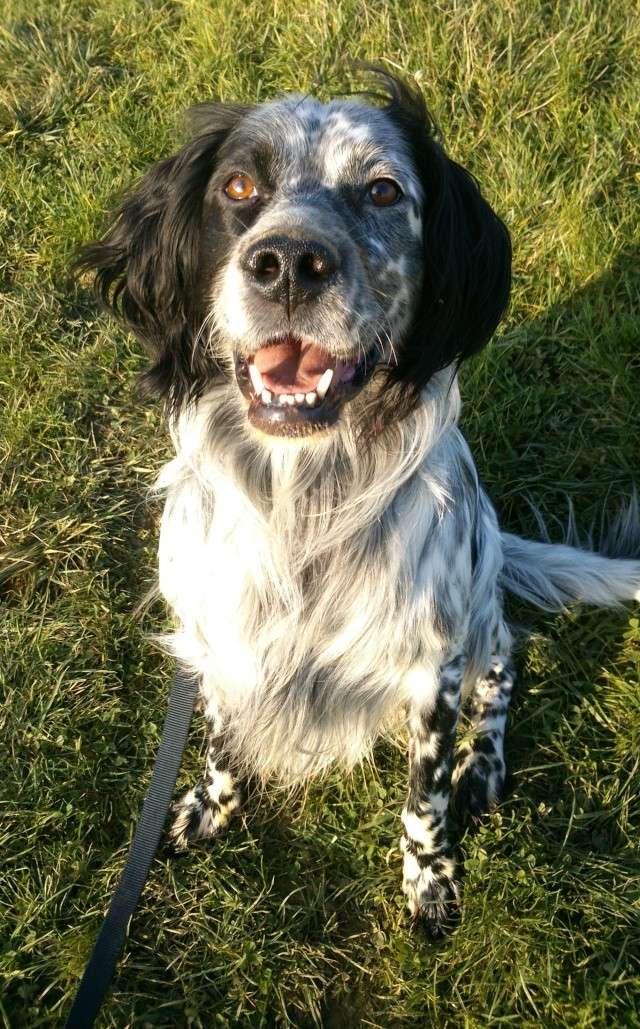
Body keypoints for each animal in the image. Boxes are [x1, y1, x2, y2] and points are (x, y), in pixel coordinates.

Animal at [75, 70, 640, 942]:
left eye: (382, 190)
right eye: (238, 187)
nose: (287, 263)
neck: (301, 500)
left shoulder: (432, 670)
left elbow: (423, 801)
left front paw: (431, 879)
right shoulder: (215, 639)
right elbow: (220, 741)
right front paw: (211, 805)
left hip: (479, 616)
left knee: (506, 665)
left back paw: (486, 764)